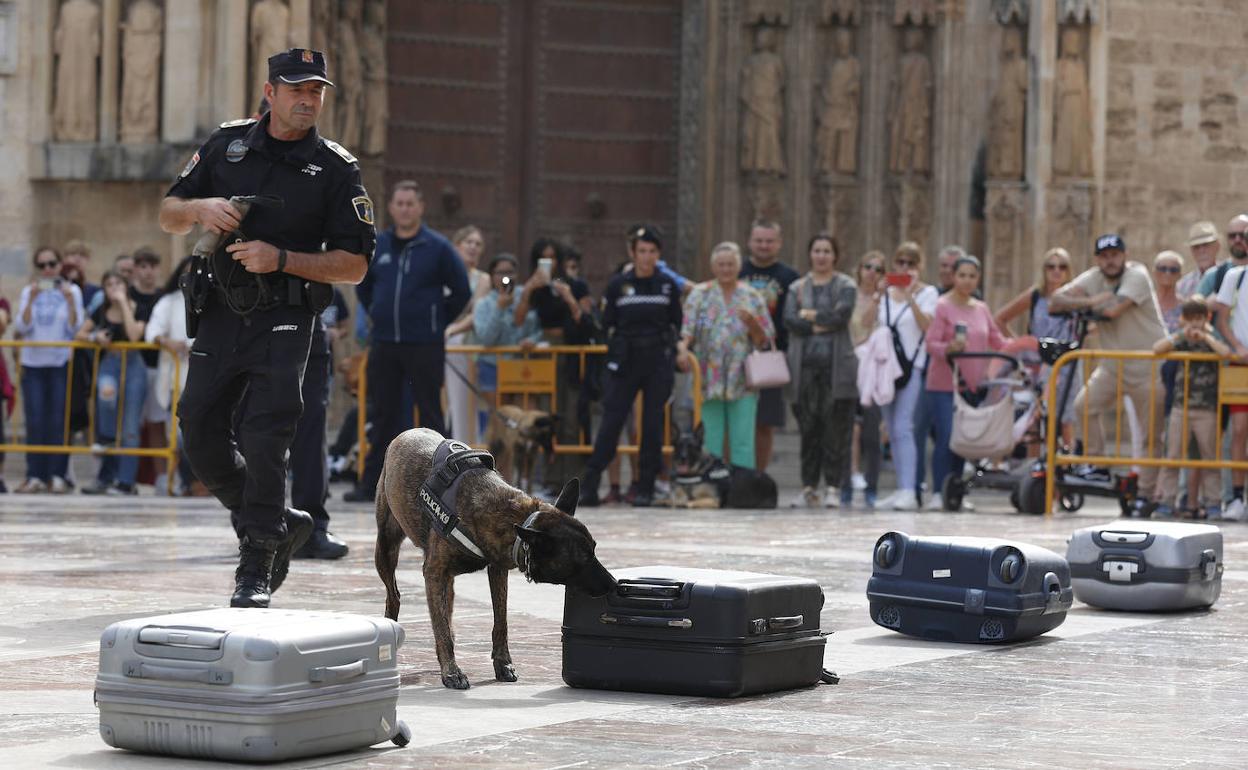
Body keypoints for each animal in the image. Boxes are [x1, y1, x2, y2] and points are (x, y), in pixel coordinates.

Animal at [374, 429, 619, 688]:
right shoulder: (434, 573)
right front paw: (451, 671)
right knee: (395, 597)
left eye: (594, 549)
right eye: (582, 560)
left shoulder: (497, 570)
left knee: (446, 607)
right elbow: (440, 628)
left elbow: (500, 622)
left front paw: (502, 664)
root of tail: (409, 432)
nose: (614, 583)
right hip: (386, 549)